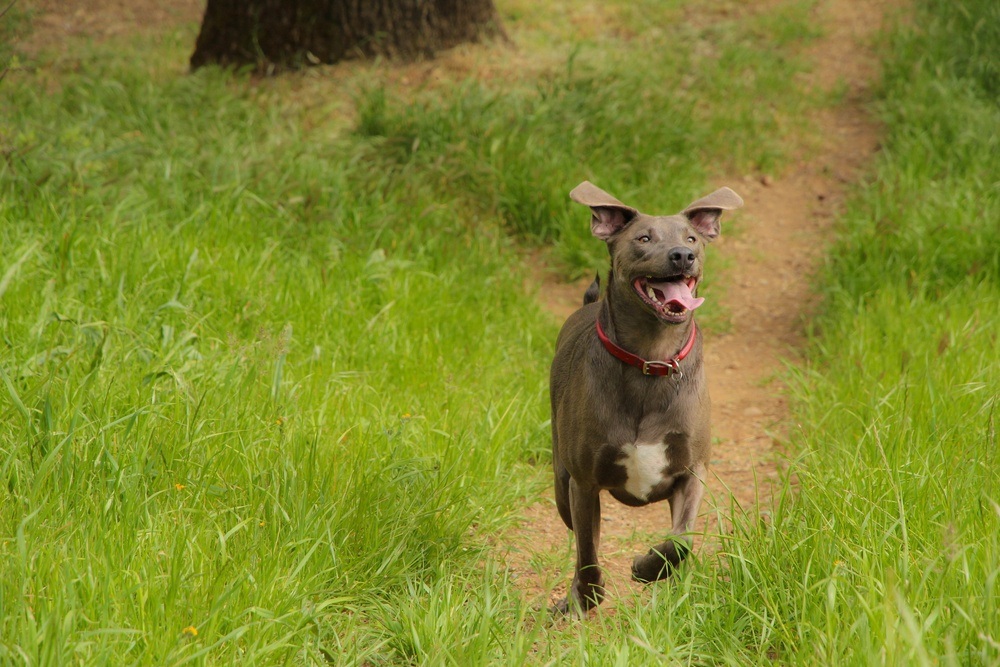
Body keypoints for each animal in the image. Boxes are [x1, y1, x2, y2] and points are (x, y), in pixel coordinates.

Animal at [548, 179, 744, 616]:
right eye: (643, 238)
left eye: (691, 238)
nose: (683, 255)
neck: (650, 360)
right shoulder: (583, 482)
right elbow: (588, 553)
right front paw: (586, 597)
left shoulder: (692, 473)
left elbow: (680, 542)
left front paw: (647, 567)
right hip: (561, 479)